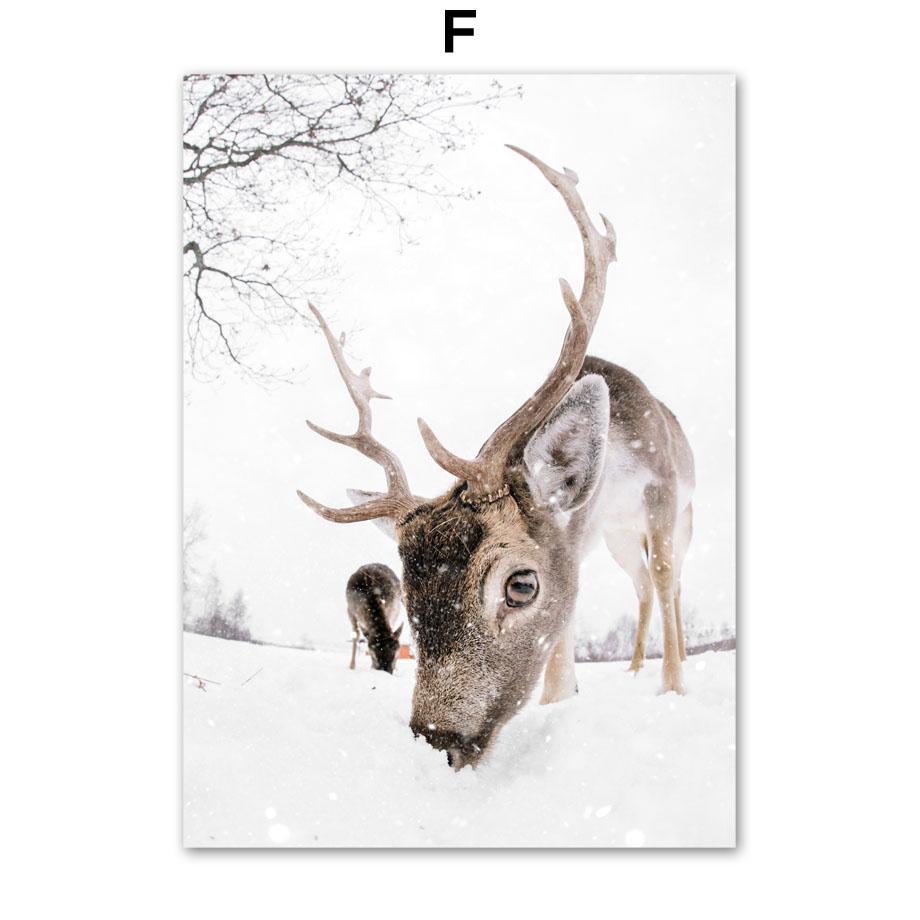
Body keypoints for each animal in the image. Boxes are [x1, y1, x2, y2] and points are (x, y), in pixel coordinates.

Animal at [298, 145, 695, 769]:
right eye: (409, 595)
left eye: (521, 585)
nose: (439, 741)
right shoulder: (579, 540)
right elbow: (564, 647)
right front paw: (562, 699)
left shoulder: (663, 491)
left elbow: (661, 579)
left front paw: (674, 690)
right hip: (619, 542)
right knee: (642, 588)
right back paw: (631, 668)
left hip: (681, 522)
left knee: (667, 582)